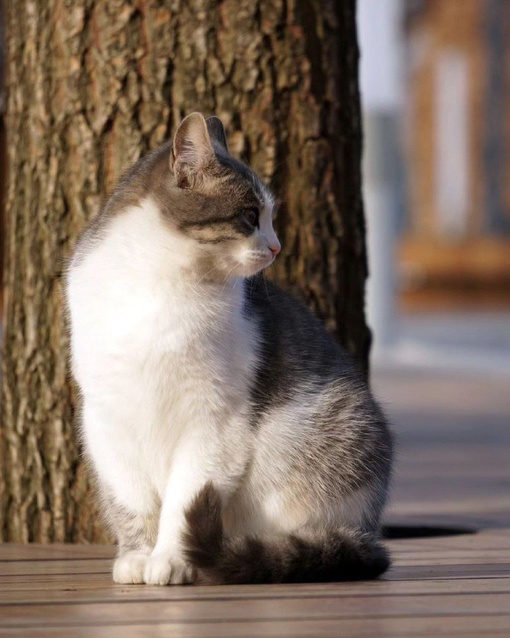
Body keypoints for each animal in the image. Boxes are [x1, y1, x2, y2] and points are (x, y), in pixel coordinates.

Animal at [65, 112, 392, 588]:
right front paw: (138, 555)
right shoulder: (107, 421)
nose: (276, 247)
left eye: (269, 217)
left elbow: (184, 502)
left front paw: (172, 559)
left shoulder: (214, 420)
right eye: (250, 215)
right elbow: (132, 503)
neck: (159, 283)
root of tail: (366, 529)